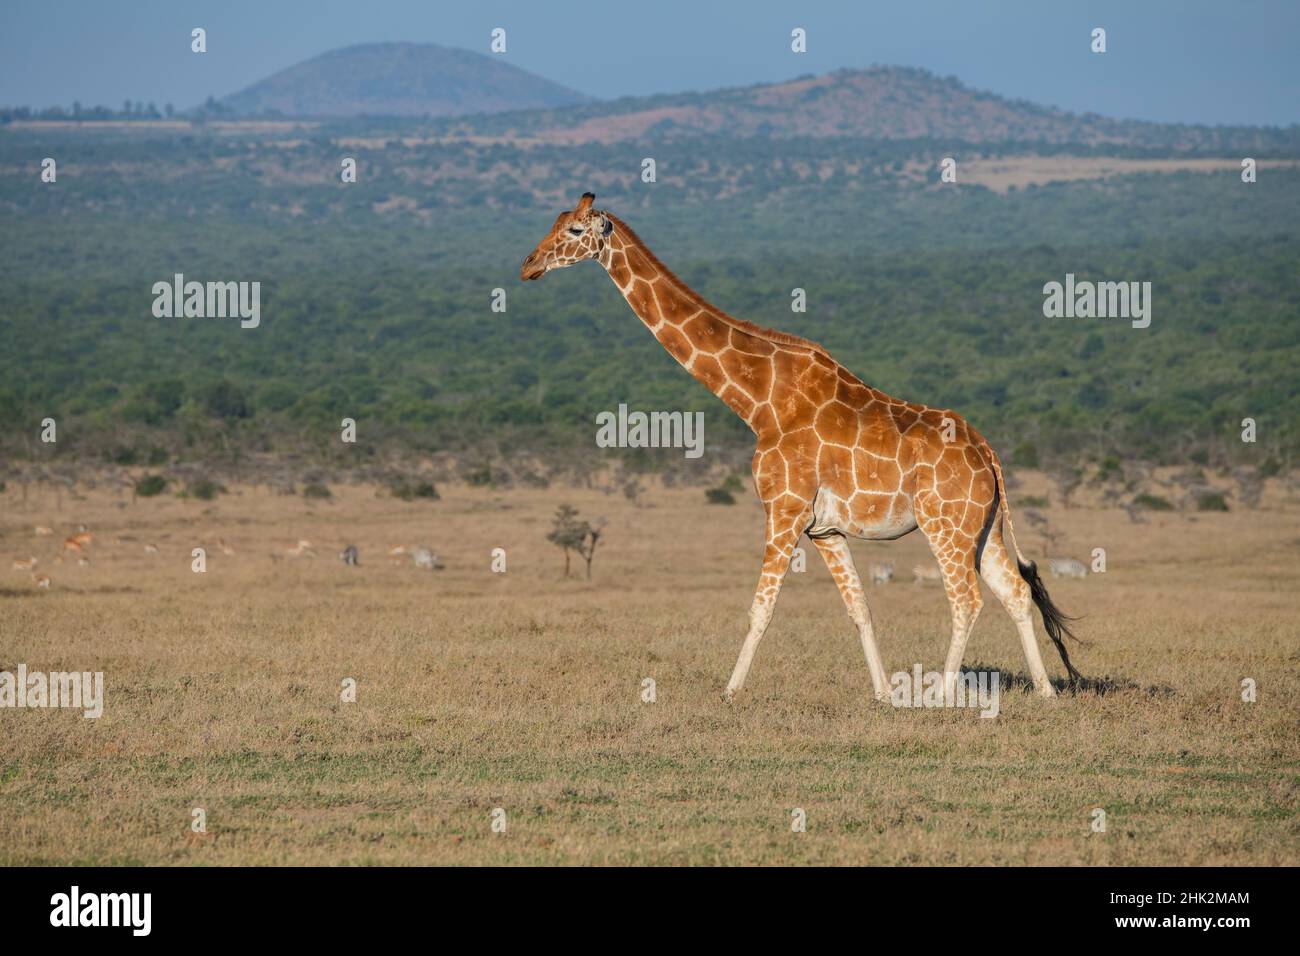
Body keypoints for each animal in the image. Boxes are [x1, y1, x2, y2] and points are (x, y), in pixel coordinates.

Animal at [521, 193, 1082, 701]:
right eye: (554, 220)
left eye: (574, 231)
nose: (528, 266)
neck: (759, 402)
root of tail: (988, 453)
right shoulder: (825, 529)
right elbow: (860, 609)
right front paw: (883, 694)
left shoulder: (783, 509)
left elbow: (760, 608)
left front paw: (729, 692)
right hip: (981, 527)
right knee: (1015, 591)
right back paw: (1046, 691)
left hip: (945, 524)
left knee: (967, 599)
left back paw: (943, 694)